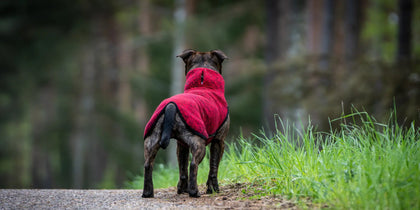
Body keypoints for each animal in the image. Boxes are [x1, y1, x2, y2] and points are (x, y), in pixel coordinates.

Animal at [144, 49, 230, 199]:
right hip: (198, 143)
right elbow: (213, 167)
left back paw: (148, 193)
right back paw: (194, 191)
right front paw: (213, 189)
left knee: (148, 164)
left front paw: (182, 189)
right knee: (194, 165)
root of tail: (171, 105)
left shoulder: (181, 145)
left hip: (152, 139)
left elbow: (182, 168)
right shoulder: (219, 141)